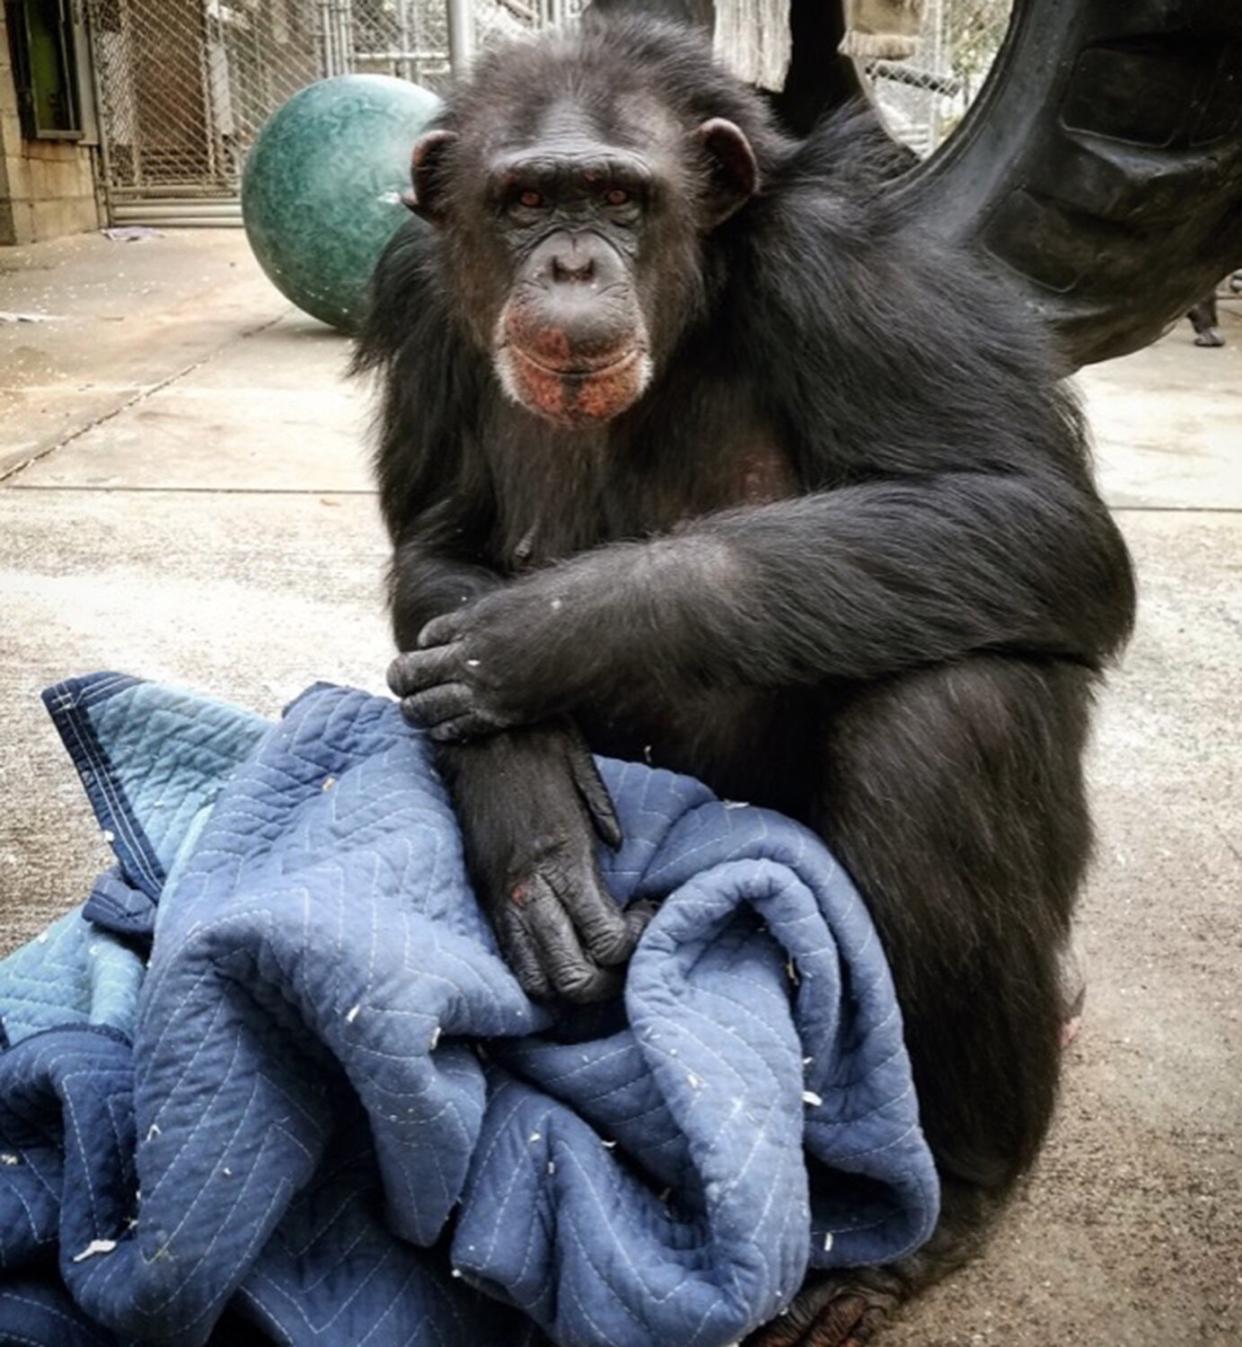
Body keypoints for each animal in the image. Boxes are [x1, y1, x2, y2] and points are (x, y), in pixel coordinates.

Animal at [350, 13, 1131, 1347]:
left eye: (619, 197)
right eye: (525, 201)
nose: (570, 265)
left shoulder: (855, 269)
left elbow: (1037, 515)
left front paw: (556, 630)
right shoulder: (413, 299)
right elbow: (435, 545)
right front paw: (527, 806)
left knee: (952, 718)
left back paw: (938, 1203)